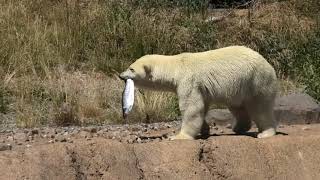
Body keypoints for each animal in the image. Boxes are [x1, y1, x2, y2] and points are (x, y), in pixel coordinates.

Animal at [120, 45, 278, 140]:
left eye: (131, 69)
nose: (121, 76)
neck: (175, 66)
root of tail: (269, 66)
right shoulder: (201, 87)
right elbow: (202, 106)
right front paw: (205, 130)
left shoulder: (188, 80)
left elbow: (191, 107)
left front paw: (178, 136)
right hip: (238, 87)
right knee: (237, 107)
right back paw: (238, 127)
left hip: (256, 81)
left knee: (260, 108)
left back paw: (265, 133)